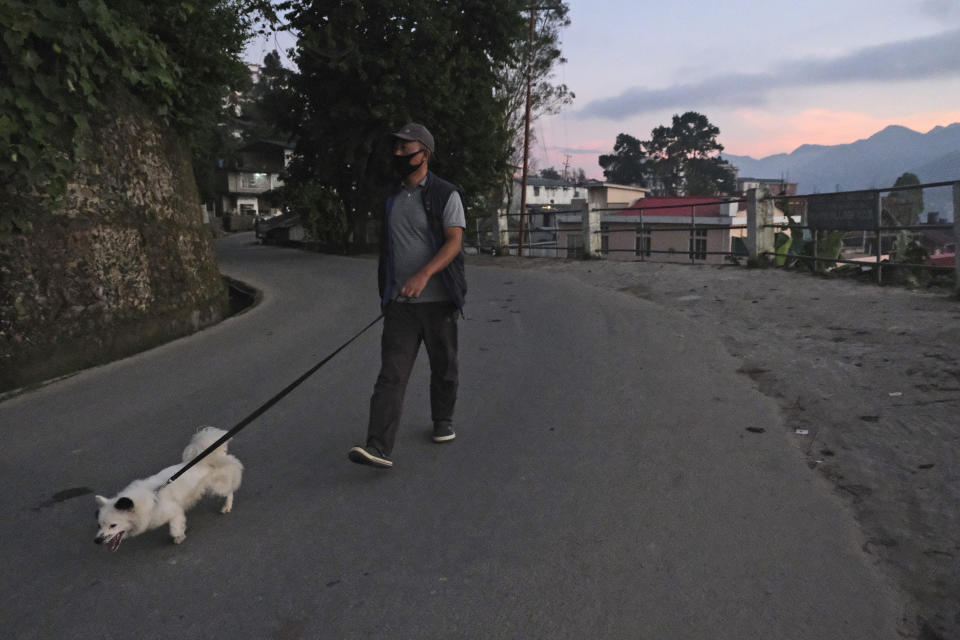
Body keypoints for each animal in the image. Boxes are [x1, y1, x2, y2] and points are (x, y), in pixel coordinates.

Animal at [94, 424, 244, 552]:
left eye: (113, 525)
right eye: (99, 525)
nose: (97, 541)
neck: (151, 499)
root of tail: (207, 459)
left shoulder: (175, 511)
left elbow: (174, 527)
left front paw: (179, 536)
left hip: (218, 487)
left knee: (230, 487)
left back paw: (227, 506)